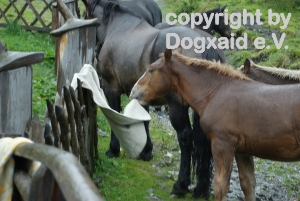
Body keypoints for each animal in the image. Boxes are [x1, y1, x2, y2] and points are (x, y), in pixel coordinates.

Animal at [86, 0, 225, 198]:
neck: (118, 27)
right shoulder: (141, 95)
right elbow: (144, 120)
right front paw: (146, 152)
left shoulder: (110, 88)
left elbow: (114, 116)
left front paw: (114, 149)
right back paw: (201, 189)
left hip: (177, 107)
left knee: (185, 138)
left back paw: (181, 185)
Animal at [130, 49, 300, 201]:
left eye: (151, 70)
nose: (133, 92)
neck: (216, 92)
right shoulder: (242, 151)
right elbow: (248, 185)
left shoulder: (222, 144)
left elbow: (220, 187)